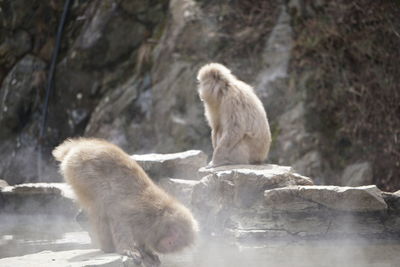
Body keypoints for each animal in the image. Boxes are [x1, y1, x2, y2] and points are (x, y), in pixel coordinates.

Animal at [51, 139, 198, 266]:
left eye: (176, 242)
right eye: (173, 239)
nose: (169, 245)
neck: (158, 214)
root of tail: (78, 146)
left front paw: (146, 251)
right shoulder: (136, 211)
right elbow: (120, 222)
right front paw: (128, 250)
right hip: (81, 172)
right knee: (100, 205)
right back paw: (108, 247)